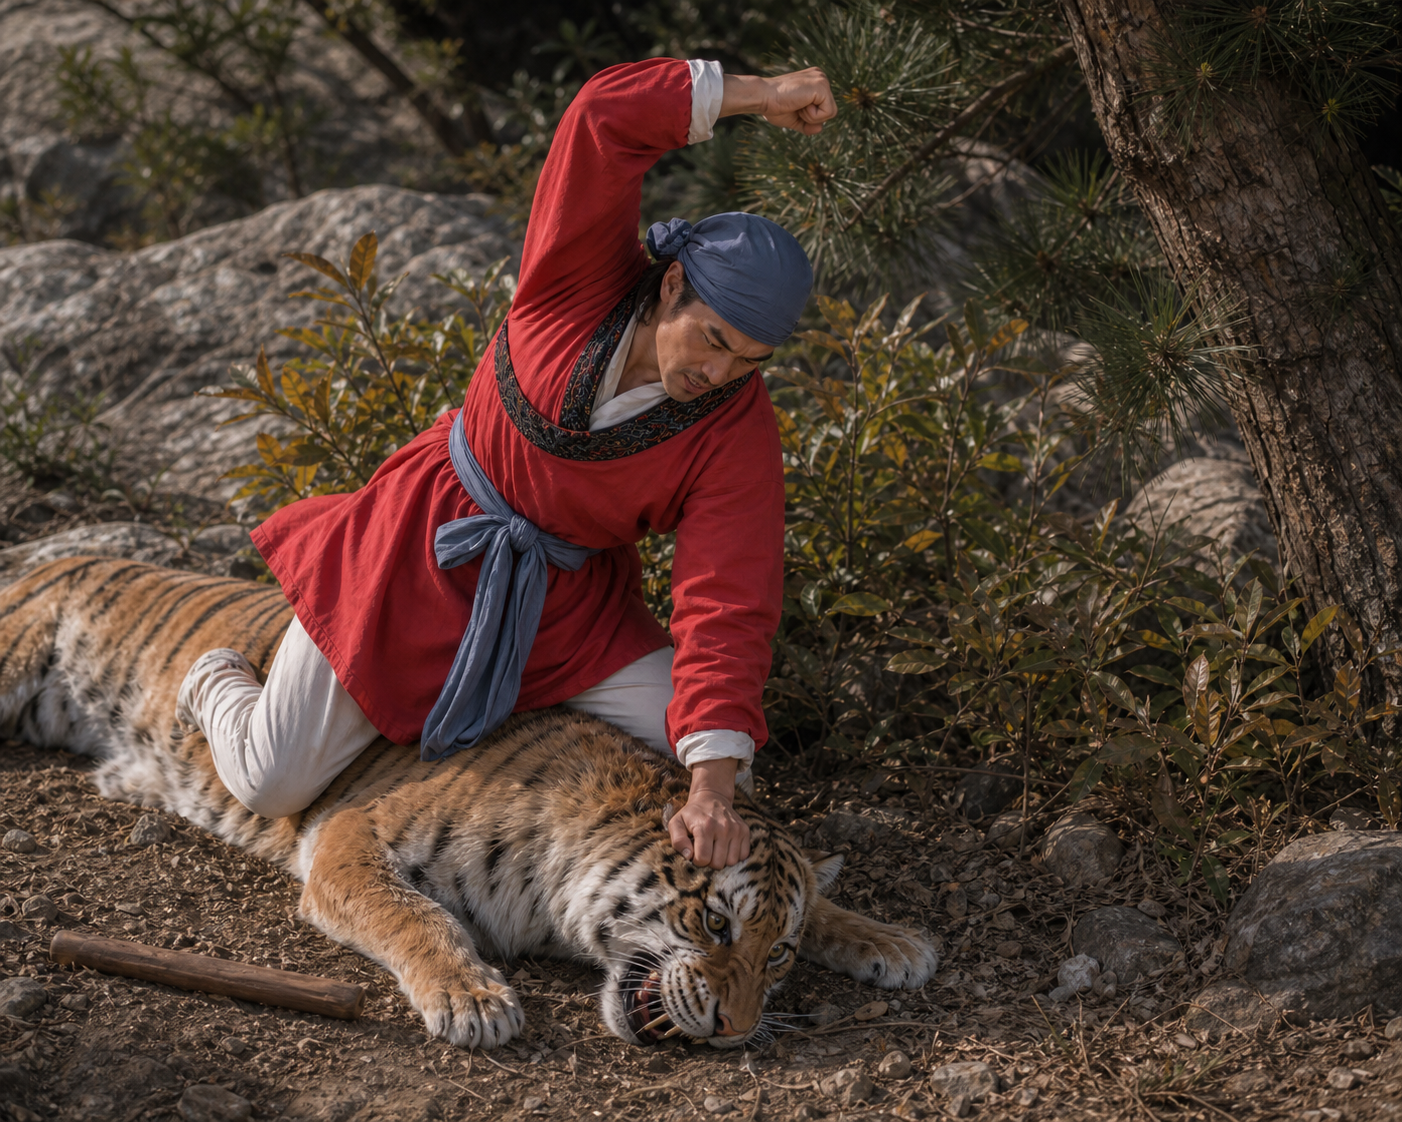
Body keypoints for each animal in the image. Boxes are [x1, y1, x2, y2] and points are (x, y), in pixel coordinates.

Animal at [0, 556, 938, 1049]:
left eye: (778, 955)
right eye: (712, 924)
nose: (734, 1031)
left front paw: (890, 940)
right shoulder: (352, 833)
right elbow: (415, 916)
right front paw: (473, 1000)